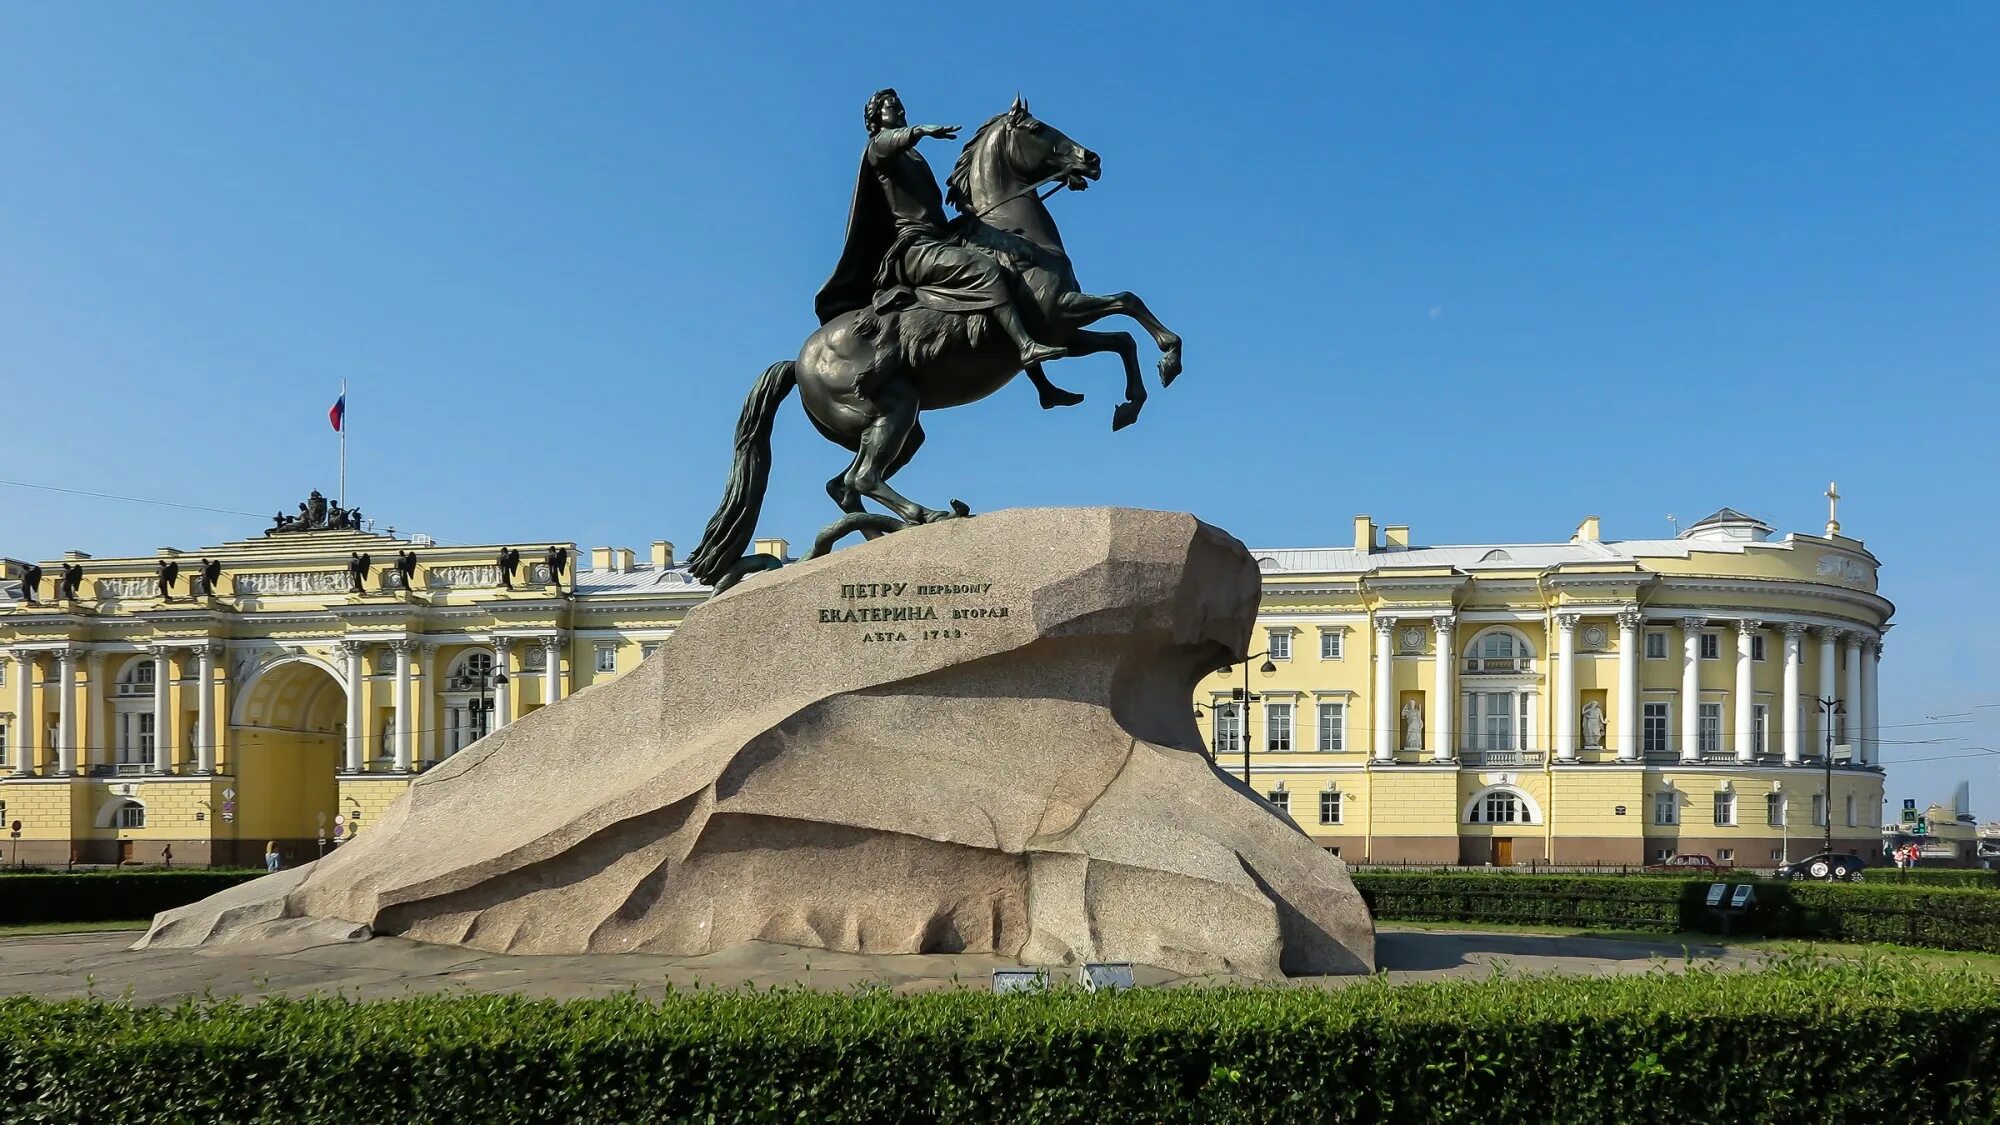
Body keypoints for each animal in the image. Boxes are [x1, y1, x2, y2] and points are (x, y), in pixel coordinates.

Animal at [692, 98, 1176, 588]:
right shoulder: (1060, 314)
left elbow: (1122, 339)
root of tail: (797, 362)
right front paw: (1170, 358)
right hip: (895, 410)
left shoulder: (1065, 331)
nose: (1090, 160)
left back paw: (880, 536)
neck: (1014, 235)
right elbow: (1128, 304)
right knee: (862, 478)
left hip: (899, 429)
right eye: (1038, 128)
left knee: (843, 486)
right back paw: (927, 515)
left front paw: (1130, 403)